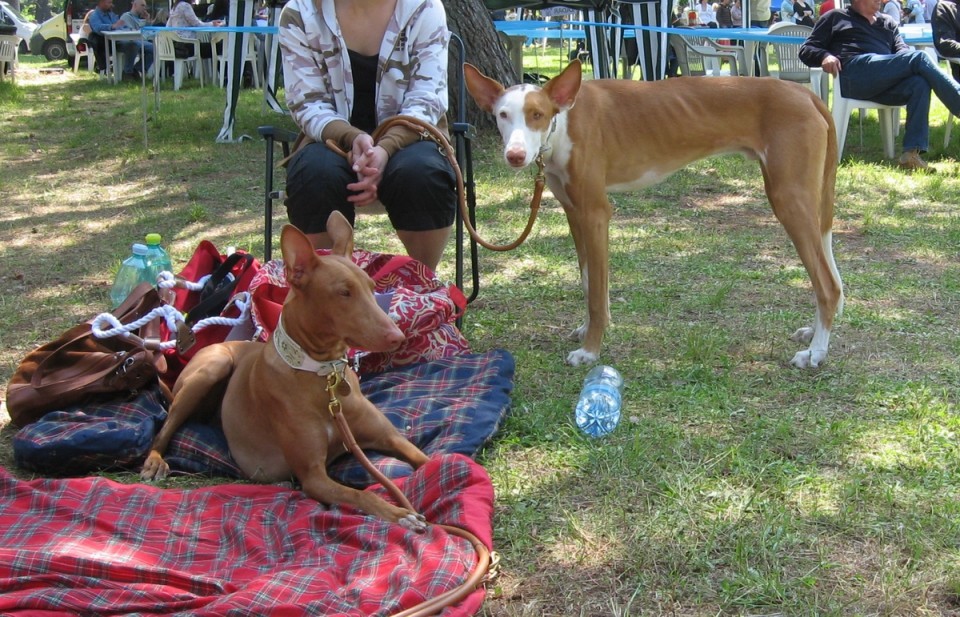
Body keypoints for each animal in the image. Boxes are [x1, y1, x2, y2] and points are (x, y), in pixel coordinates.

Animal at [139, 211, 428, 528]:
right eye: (344, 293)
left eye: (372, 288)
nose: (398, 337)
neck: (324, 378)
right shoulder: (313, 477)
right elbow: (363, 495)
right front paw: (401, 514)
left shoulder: (390, 438)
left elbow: (429, 460)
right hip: (212, 368)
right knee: (165, 427)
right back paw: (155, 461)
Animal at [464, 59, 840, 366]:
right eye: (502, 115)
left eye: (537, 115)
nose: (515, 155)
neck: (565, 121)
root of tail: (805, 94)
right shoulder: (574, 212)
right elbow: (588, 283)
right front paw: (587, 328)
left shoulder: (596, 213)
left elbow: (597, 293)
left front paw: (590, 351)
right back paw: (814, 333)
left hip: (788, 199)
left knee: (827, 285)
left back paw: (816, 353)